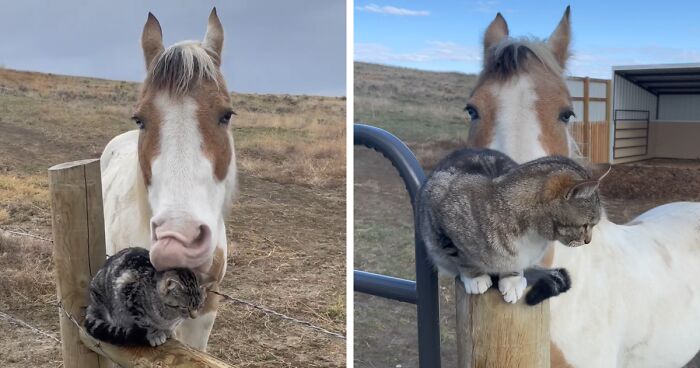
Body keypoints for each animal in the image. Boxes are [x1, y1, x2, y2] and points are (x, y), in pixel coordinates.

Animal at [416, 148, 608, 304]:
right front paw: (475, 277)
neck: (532, 235)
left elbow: (515, 265)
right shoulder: (442, 222)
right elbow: (462, 258)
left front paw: (513, 280)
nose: (588, 241)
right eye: (586, 225)